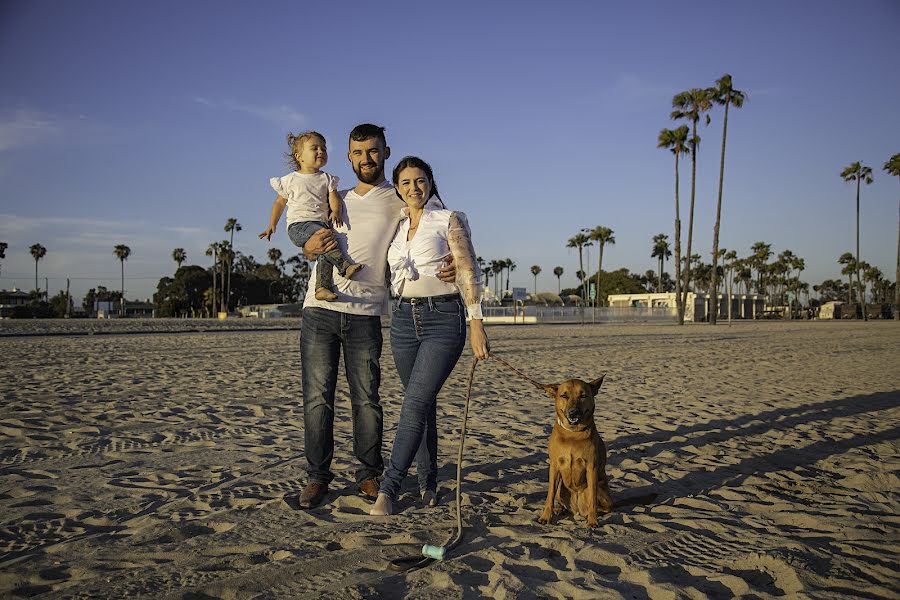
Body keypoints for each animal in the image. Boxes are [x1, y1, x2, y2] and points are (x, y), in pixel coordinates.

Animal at [536, 378, 616, 528]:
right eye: (564, 396)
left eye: (583, 396)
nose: (573, 412)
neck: (572, 435)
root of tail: (576, 509)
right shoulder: (554, 466)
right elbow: (549, 495)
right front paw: (546, 516)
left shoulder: (591, 467)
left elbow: (592, 500)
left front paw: (593, 521)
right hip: (560, 487)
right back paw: (559, 509)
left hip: (600, 489)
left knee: (604, 505)